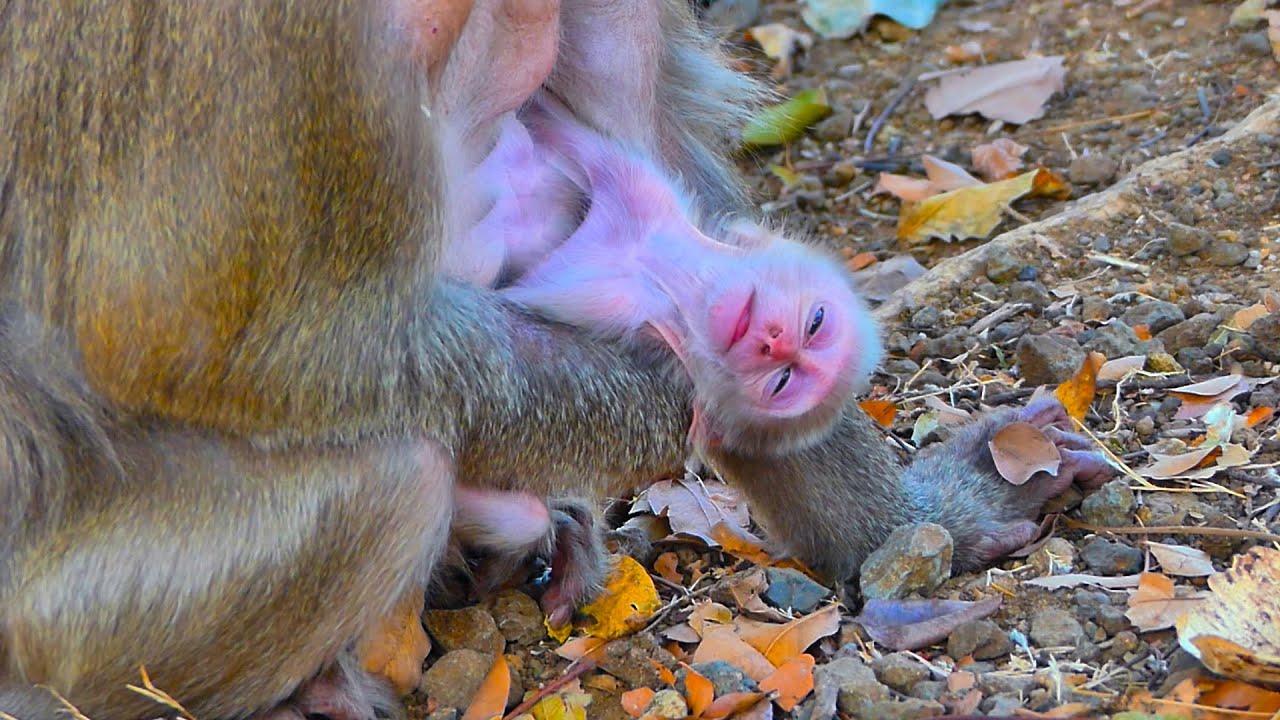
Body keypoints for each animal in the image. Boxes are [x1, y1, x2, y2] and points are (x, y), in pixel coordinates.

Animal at [0, 1, 1115, 719]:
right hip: (66, 629)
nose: (762, 341)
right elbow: (181, 337)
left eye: (792, 366)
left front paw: (922, 521)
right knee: (392, 470)